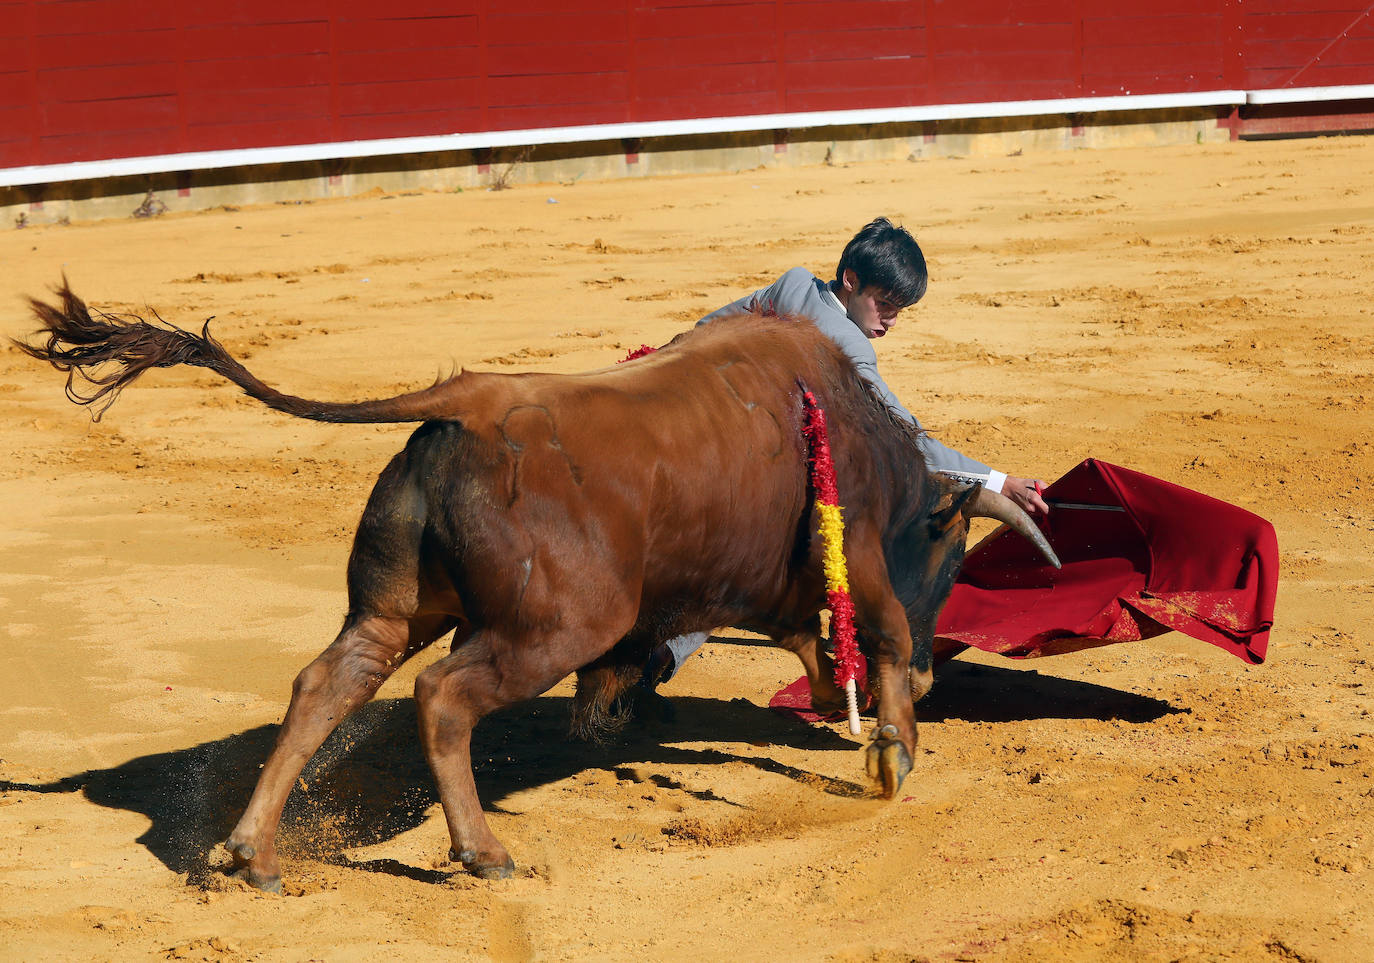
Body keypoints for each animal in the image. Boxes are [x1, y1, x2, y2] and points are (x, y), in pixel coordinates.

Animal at [16, 282, 1055, 884]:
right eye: (950, 562)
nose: (938, 677)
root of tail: (466, 402)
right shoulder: (866, 562)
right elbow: (879, 633)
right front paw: (895, 754)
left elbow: (809, 639)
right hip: (552, 628)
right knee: (442, 698)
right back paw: (483, 853)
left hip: (391, 606)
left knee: (326, 682)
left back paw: (251, 853)